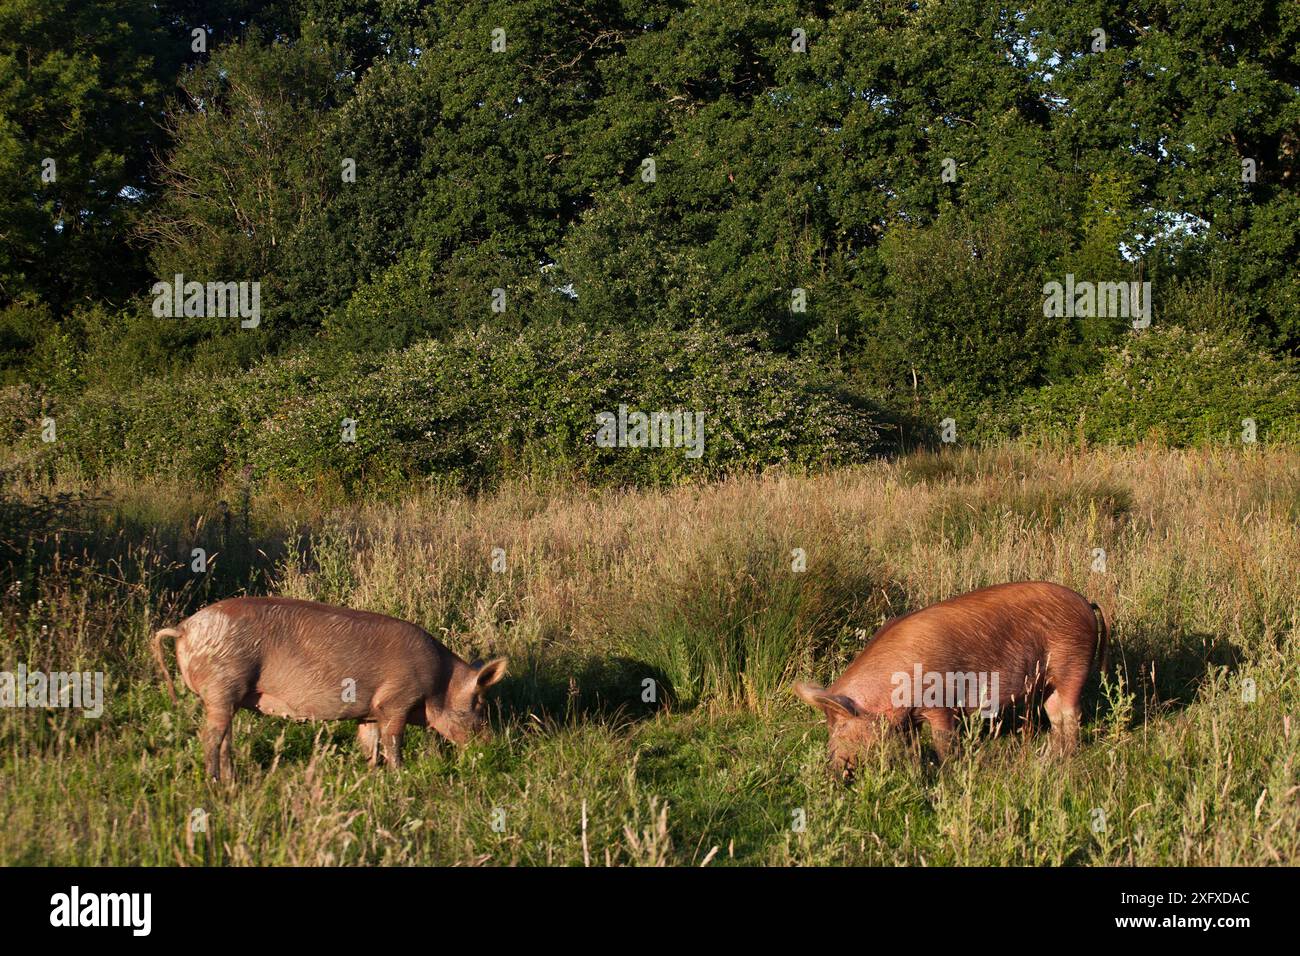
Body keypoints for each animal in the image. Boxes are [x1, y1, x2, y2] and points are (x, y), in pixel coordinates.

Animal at [152, 600, 506, 780]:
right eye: (478, 703)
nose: (493, 744)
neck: (440, 683)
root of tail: (184, 628)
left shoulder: (370, 712)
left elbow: (370, 743)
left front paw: (371, 774)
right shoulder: (396, 702)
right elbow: (394, 741)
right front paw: (401, 775)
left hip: (226, 696)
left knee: (224, 739)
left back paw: (232, 780)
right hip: (221, 687)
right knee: (210, 738)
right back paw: (217, 785)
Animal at [790, 580, 1107, 775]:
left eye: (842, 729)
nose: (833, 770)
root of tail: (1086, 603)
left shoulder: (940, 703)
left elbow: (944, 741)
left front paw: (947, 771)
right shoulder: (909, 718)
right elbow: (913, 745)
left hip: (1072, 665)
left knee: (1071, 713)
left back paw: (1066, 758)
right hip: (1052, 681)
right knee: (1054, 714)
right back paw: (1049, 758)